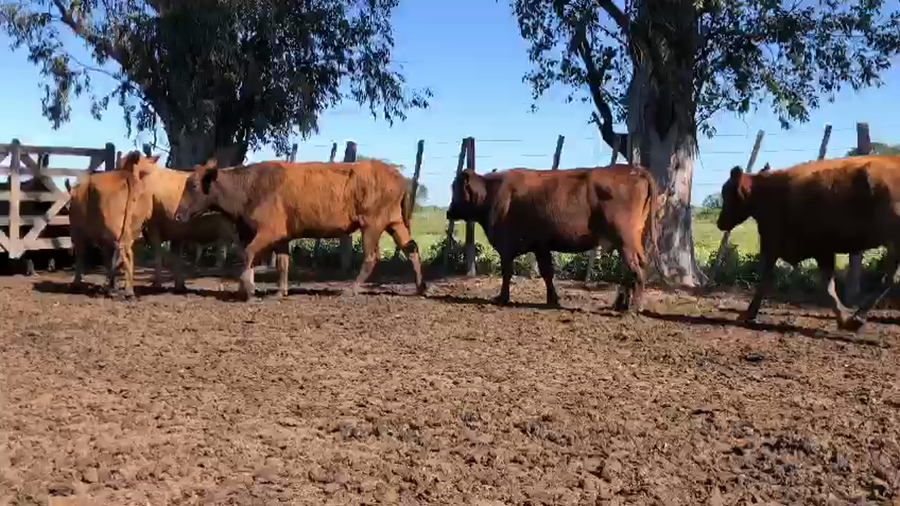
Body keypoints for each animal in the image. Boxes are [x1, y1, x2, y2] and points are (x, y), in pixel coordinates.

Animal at [66, 152, 156, 298]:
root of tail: (126, 176)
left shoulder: (79, 234)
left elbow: (83, 257)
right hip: (130, 229)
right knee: (126, 252)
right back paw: (127, 289)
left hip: (108, 230)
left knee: (118, 252)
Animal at [172, 158, 427, 301]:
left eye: (193, 185)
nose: (178, 215)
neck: (251, 186)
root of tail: (399, 177)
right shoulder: (282, 237)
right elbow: (283, 264)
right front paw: (280, 292)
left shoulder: (268, 232)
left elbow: (249, 253)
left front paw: (249, 289)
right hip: (394, 223)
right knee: (411, 248)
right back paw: (420, 288)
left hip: (371, 226)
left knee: (371, 257)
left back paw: (351, 290)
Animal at [446, 164, 661, 309]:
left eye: (456, 188)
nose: (448, 212)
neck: (494, 193)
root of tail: (632, 169)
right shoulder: (541, 246)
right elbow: (547, 273)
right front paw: (553, 300)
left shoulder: (507, 247)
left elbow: (507, 273)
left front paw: (502, 298)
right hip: (628, 242)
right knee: (631, 269)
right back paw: (621, 305)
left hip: (625, 240)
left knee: (636, 268)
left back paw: (634, 308)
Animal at [716, 155, 900, 332]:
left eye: (727, 193)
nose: (720, 223)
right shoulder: (820, 250)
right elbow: (828, 286)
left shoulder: (781, 244)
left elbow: (767, 279)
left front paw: (750, 314)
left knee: (888, 278)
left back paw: (858, 318)